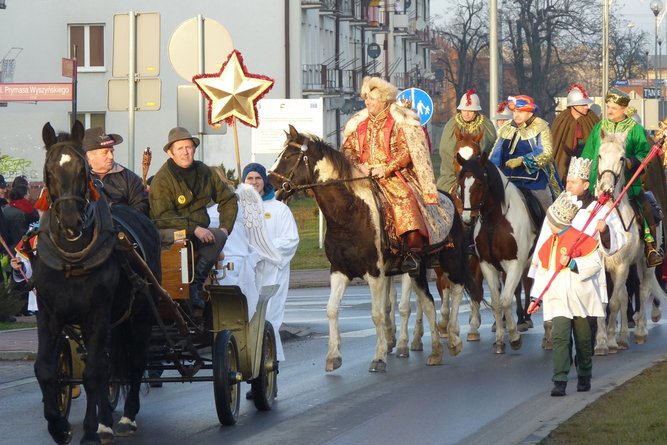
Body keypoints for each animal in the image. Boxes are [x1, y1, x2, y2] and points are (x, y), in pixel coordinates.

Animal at [35, 121, 160, 444]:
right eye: (49, 169)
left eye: (83, 170)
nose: (70, 220)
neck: (73, 259)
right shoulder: (49, 314)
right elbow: (46, 370)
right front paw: (58, 426)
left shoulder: (98, 313)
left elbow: (92, 373)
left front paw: (90, 431)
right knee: (108, 364)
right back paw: (106, 420)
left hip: (140, 313)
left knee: (135, 360)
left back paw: (125, 418)